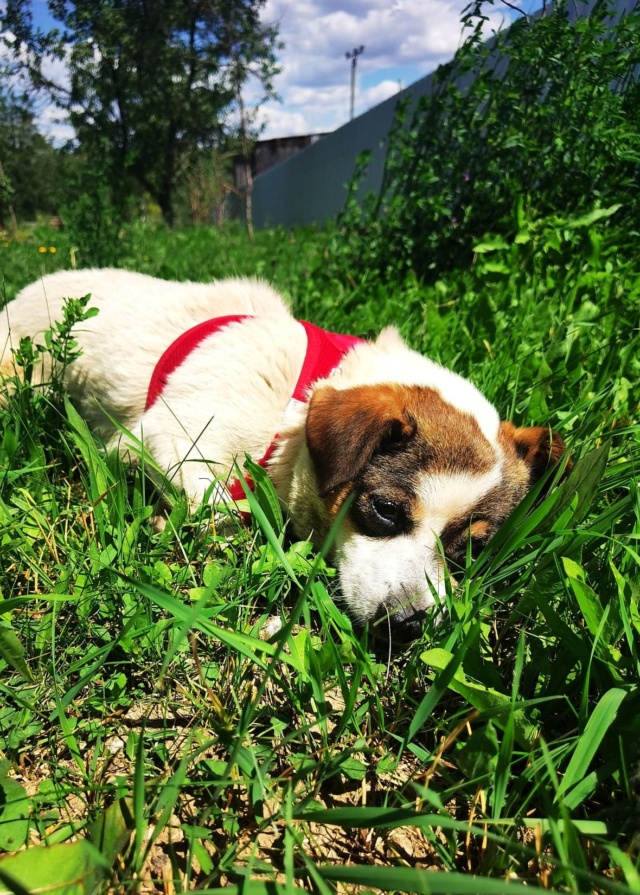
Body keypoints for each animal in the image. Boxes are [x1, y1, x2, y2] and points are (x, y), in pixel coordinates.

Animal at [0, 270, 568, 640]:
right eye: (385, 510)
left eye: (471, 549)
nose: (408, 625)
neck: (294, 406)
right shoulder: (164, 437)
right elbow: (220, 510)